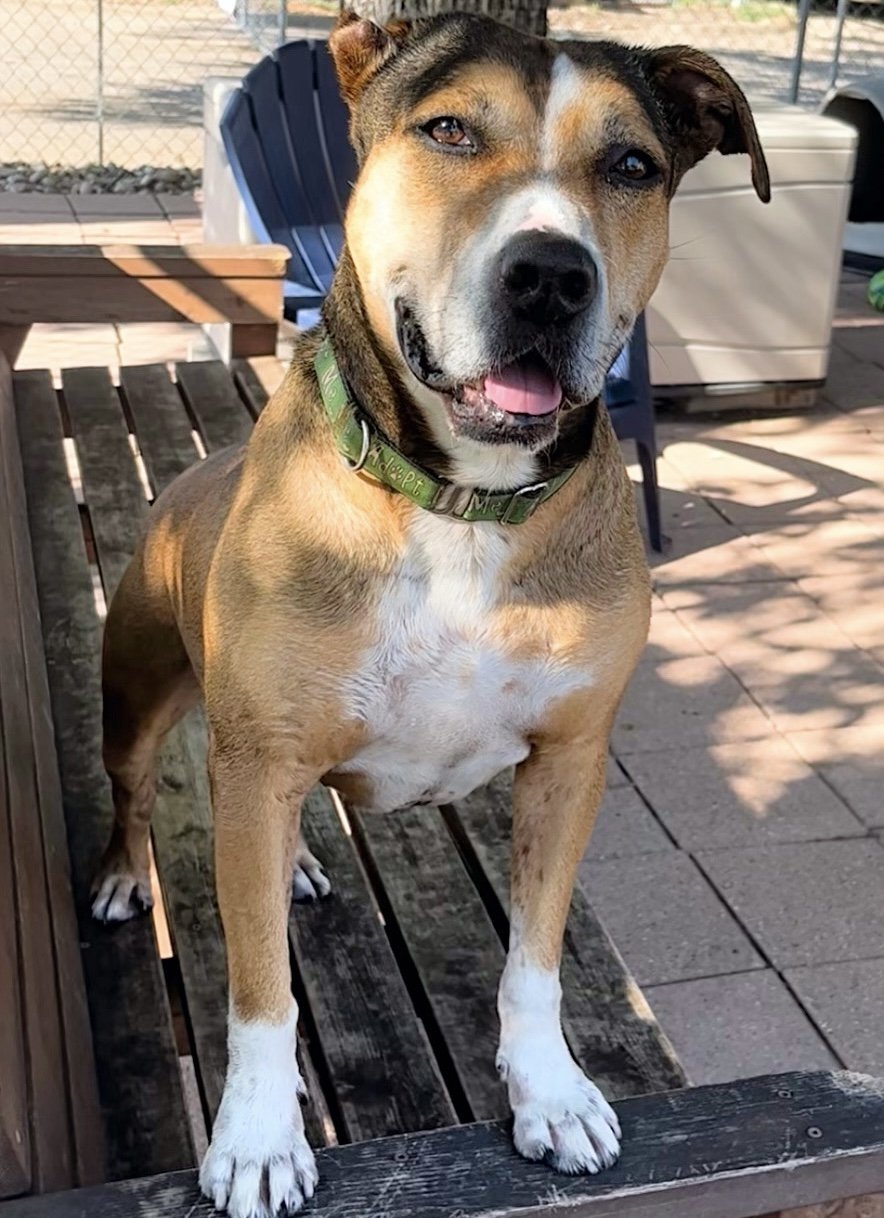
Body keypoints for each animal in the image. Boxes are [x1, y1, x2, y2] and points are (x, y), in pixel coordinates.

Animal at [90, 11, 769, 1218]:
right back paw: (132, 871)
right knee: (131, 794)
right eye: (449, 130)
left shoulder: (567, 761)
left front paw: (550, 1091)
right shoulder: (259, 755)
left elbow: (533, 957)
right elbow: (260, 990)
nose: (549, 276)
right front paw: (257, 1135)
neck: (460, 502)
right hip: (137, 696)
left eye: (631, 165)